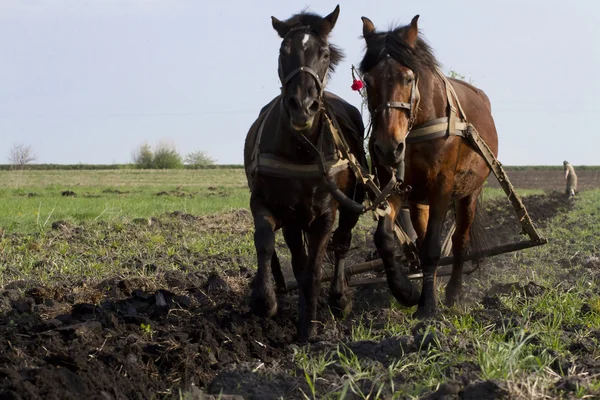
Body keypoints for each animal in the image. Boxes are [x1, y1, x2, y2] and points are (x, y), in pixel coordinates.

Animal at [243, 5, 366, 340]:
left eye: (324, 53)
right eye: (283, 51)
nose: (302, 106)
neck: (302, 149)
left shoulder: (325, 214)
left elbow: (313, 269)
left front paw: (309, 327)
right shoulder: (274, 206)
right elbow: (266, 242)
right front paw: (265, 300)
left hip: (353, 202)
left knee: (342, 242)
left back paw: (339, 297)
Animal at [358, 14, 500, 316]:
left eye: (408, 77)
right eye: (367, 80)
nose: (388, 147)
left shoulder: (442, 186)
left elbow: (434, 247)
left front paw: (429, 308)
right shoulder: (395, 187)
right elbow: (385, 238)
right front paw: (406, 291)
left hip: (468, 193)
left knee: (459, 241)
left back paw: (453, 292)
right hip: (419, 201)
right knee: (422, 240)